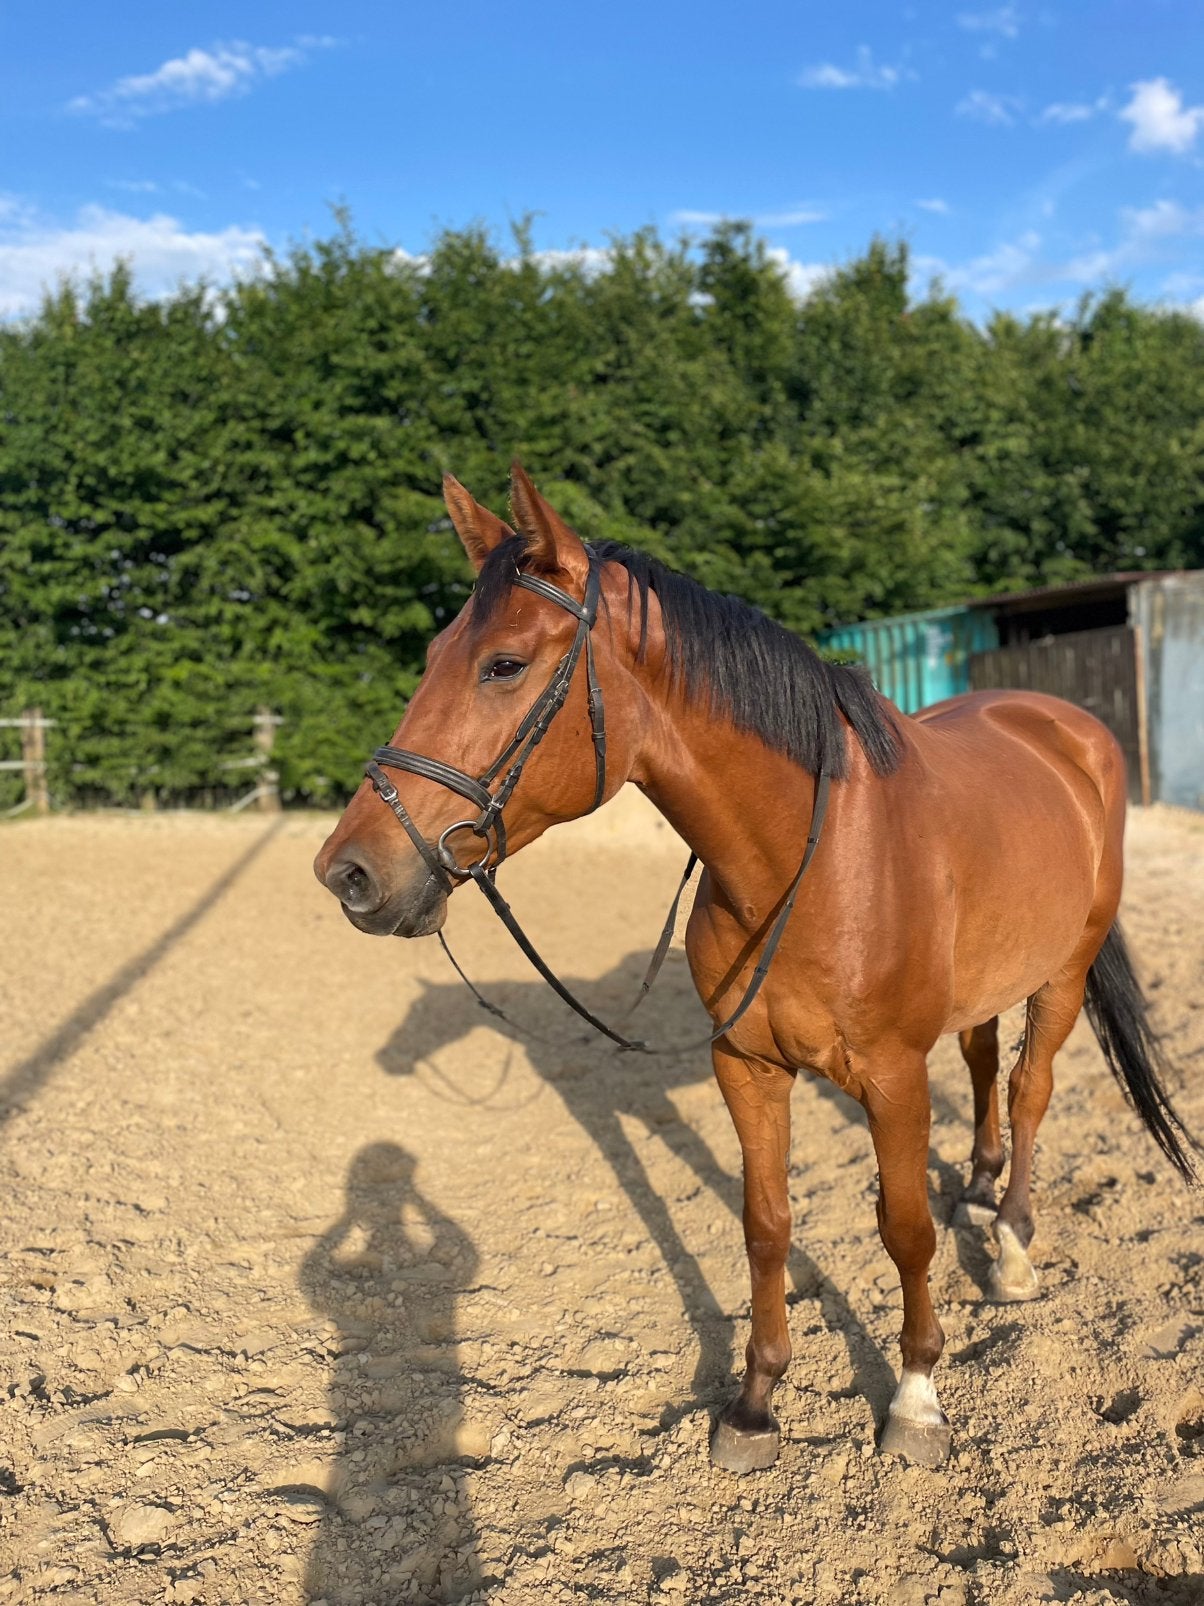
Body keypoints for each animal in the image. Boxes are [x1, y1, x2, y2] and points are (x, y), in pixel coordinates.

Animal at [314, 462, 1196, 1473]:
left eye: (503, 665)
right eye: (431, 655)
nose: (349, 871)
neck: (813, 861)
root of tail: (1064, 725)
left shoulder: (893, 1077)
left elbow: (902, 1229)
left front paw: (916, 1400)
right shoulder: (746, 1065)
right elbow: (766, 1225)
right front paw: (755, 1404)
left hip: (1063, 975)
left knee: (1029, 1087)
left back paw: (1009, 1247)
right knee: (981, 1064)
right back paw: (976, 1189)